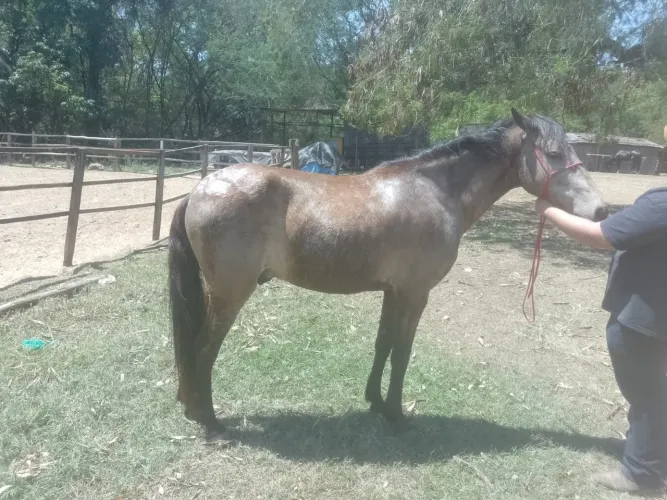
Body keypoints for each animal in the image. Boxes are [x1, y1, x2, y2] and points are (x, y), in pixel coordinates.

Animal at [168, 109, 609, 441]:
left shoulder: (393, 292)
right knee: (202, 350)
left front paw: (376, 403)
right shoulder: (415, 293)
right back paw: (211, 422)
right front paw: (397, 415)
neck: (435, 192)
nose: (601, 210)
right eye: (553, 153)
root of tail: (200, 188)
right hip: (230, 295)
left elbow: (383, 345)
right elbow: (402, 353)